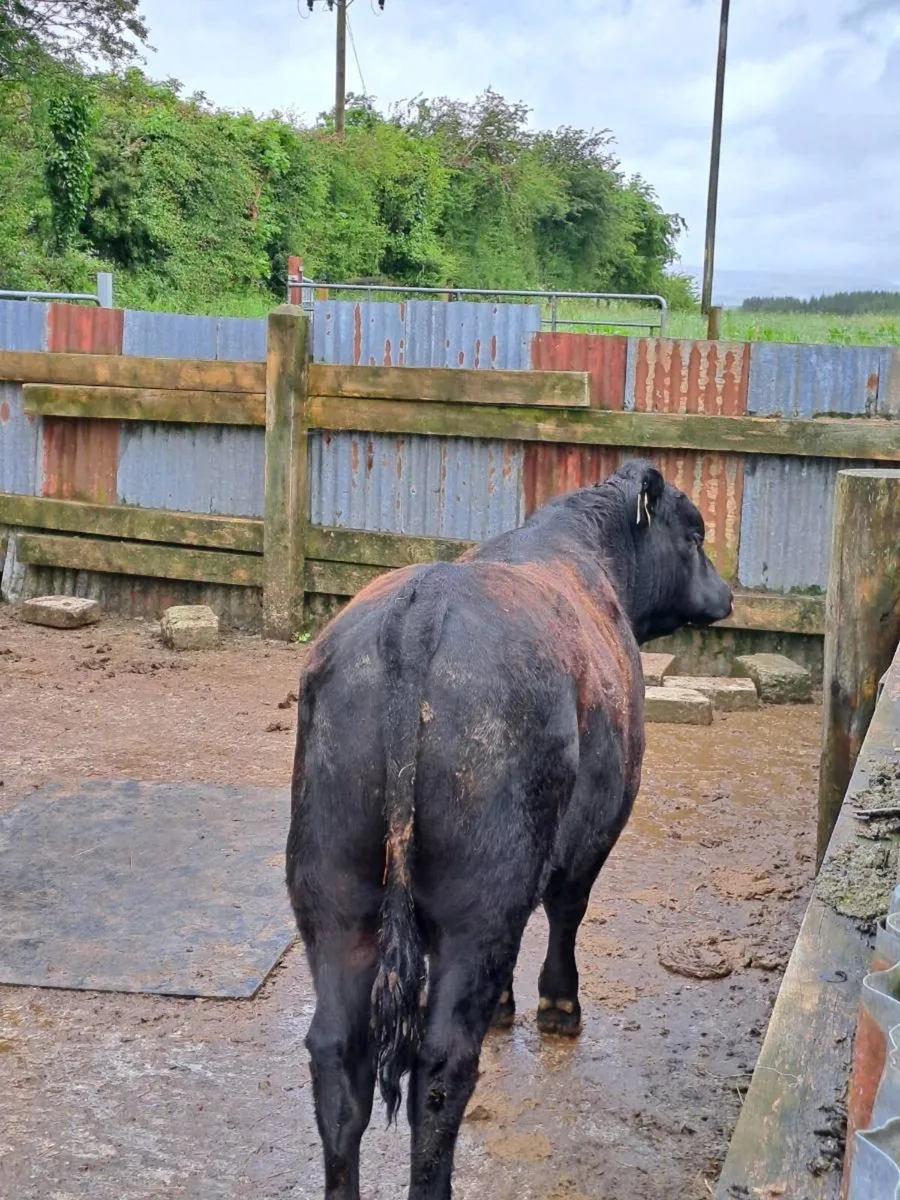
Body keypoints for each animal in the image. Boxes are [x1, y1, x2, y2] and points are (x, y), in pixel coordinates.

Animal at [286, 460, 733, 1200]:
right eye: (694, 533)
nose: (727, 593)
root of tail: (422, 608)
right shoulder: (595, 825)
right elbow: (566, 907)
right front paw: (557, 1005)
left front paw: (504, 1004)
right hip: (477, 899)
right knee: (441, 1064)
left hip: (334, 893)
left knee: (337, 1056)